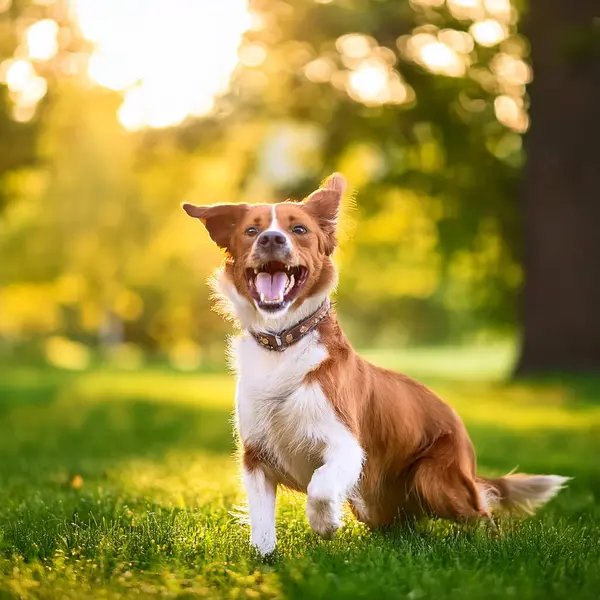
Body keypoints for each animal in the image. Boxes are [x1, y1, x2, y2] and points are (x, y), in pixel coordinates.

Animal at [182, 173, 568, 556]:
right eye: (251, 230)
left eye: (299, 229)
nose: (271, 239)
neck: (282, 344)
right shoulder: (255, 457)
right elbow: (261, 520)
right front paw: (264, 558)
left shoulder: (347, 445)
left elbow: (320, 485)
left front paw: (325, 524)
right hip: (376, 508)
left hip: (436, 480)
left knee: (483, 514)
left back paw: (486, 542)